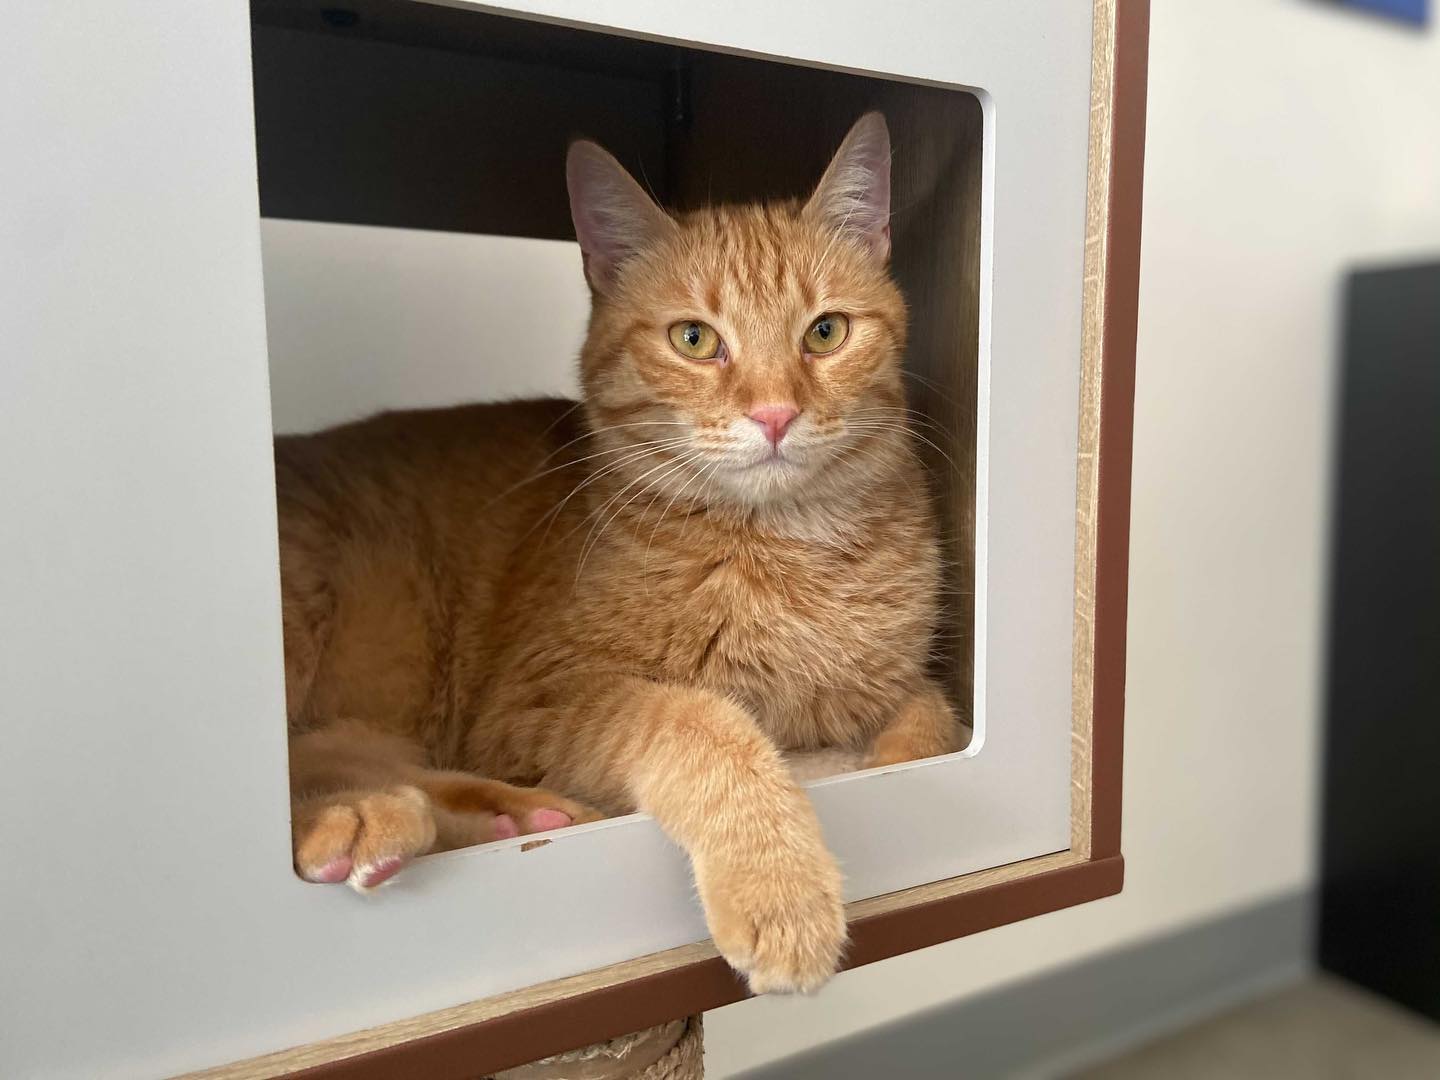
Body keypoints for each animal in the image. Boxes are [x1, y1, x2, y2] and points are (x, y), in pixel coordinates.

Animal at [279, 112, 962, 994]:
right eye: (695, 339)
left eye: (826, 332)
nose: (776, 414)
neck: (785, 548)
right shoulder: (539, 703)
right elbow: (696, 717)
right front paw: (780, 887)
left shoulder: (893, 689)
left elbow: (931, 724)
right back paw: (364, 820)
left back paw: (498, 816)